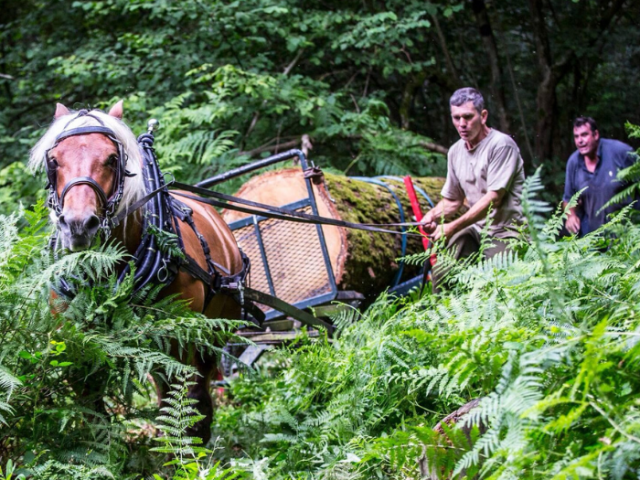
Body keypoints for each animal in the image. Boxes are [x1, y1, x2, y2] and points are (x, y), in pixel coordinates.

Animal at [29, 101, 245, 443]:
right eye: (54, 160)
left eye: (112, 159)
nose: (78, 224)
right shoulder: (75, 340)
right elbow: (92, 408)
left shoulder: (177, 339)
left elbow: (178, 400)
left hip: (214, 331)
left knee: (198, 389)